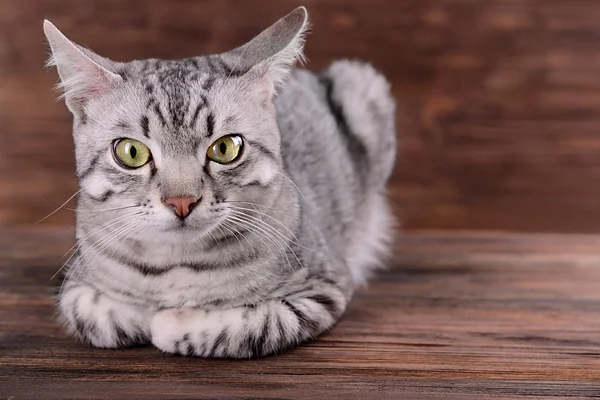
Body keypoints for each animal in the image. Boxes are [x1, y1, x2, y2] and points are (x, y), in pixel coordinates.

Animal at [43, 6, 398, 358]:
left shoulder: (321, 289)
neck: (176, 266)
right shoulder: (75, 286)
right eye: (131, 152)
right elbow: (99, 315)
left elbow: (245, 324)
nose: (181, 201)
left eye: (225, 148)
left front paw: (170, 319)